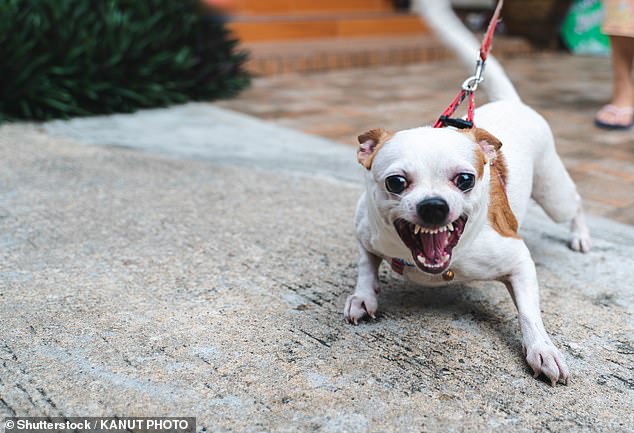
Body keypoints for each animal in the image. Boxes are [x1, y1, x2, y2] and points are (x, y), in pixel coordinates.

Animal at [344, 0, 592, 384]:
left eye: (464, 179)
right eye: (396, 182)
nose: (433, 206)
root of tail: (512, 102)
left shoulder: (517, 259)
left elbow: (529, 312)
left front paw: (542, 349)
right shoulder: (364, 232)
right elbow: (366, 265)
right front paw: (363, 296)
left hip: (554, 193)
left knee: (575, 203)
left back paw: (580, 236)